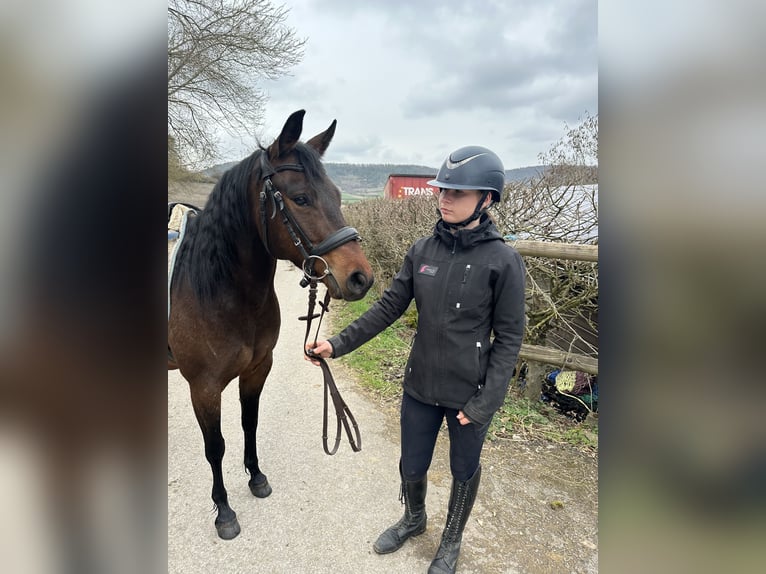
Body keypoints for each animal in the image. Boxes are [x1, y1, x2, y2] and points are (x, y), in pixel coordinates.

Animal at [167, 110, 374, 540]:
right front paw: (224, 511)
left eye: (338, 196)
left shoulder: (258, 369)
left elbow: (250, 423)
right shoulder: (203, 388)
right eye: (301, 198)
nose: (360, 278)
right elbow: (215, 446)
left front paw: (257, 477)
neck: (220, 290)